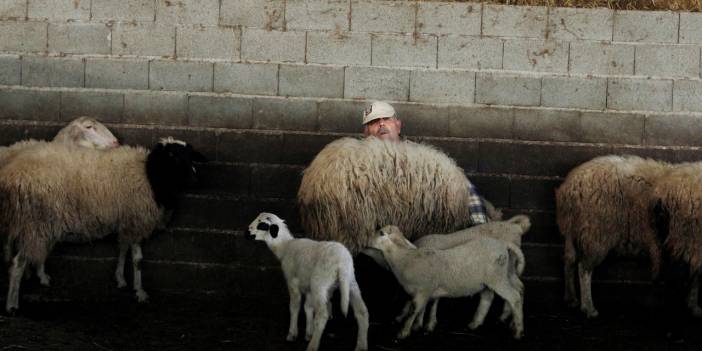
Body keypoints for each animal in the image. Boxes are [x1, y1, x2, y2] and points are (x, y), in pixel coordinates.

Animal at [0, 138, 206, 314]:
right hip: (35, 223)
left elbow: (123, 249)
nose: (195, 180)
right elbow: (138, 260)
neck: (150, 176)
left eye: (190, 156)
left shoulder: (127, 222)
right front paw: (140, 292)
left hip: (39, 224)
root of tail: (11, 174)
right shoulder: (137, 220)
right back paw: (12, 305)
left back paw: (39, 277)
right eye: (172, 155)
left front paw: (121, 279)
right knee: (17, 264)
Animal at [248, 212, 372, 351]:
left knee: (322, 315)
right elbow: (308, 308)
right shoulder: (308, 288)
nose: (247, 232)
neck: (285, 247)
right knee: (362, 312)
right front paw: (308, 332)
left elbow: (295, 307)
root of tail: (342, 262)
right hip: (350, 283)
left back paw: (313, 345)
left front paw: (292, 333)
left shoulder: (292, 282)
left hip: (319, 283)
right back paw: (361, 345)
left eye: (262, 224)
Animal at [372, 226, 524, 340]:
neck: (405, 258)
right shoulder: (429, 289)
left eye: (381, 232)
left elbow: (414, 309)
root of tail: (503, 244)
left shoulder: (423, 289)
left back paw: (517, 330)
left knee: (514, 297)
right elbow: (427, 305)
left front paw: (403, 331)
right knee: (491, 297)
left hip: (497, 278)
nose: (367, 240)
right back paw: (476, 323)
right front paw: (423, 325)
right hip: (494, 278)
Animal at [396, 214, 532, 332]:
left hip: (501, 272)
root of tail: (516, 227)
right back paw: (505, 319)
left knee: (513, 291)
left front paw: (419, 321)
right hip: (508, 270)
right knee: (518, 288)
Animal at [560, 155, 672, 318]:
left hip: (572, 230)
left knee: (569, 261)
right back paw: (589, 307)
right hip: (596, 234)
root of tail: (571, 187)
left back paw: (571, 299)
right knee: (584, 268)